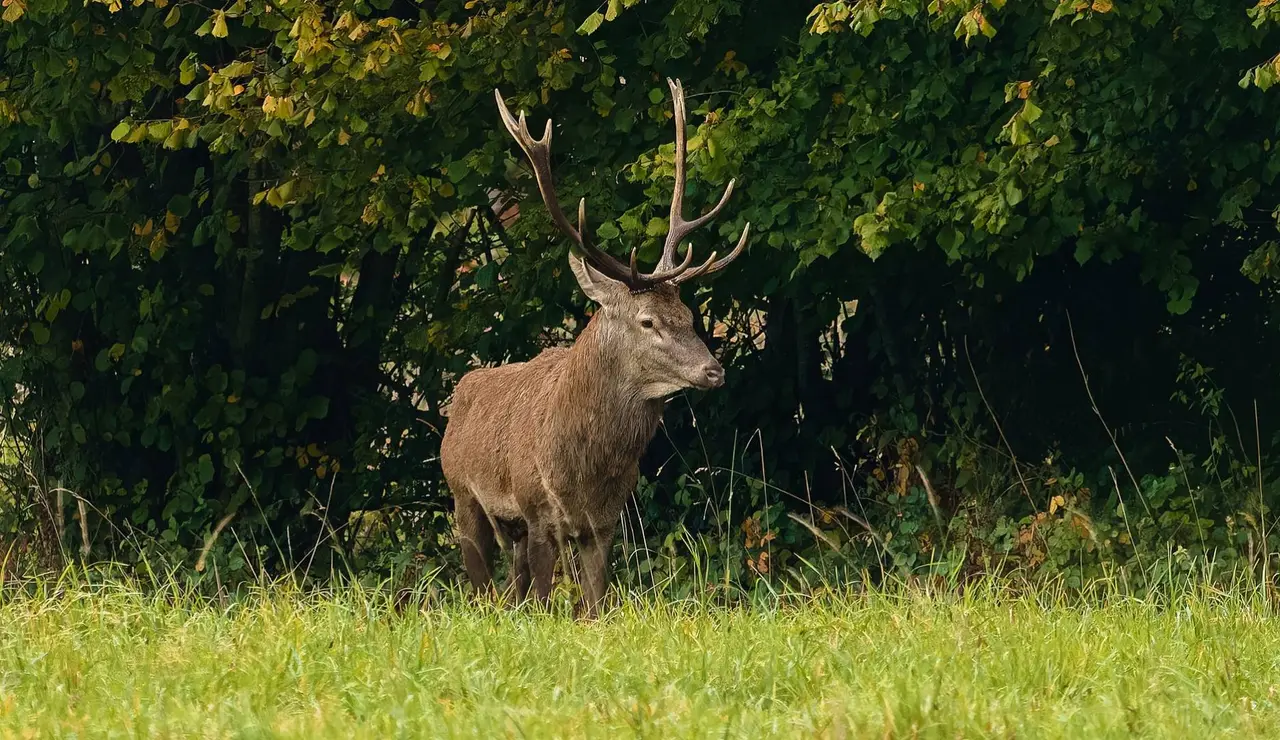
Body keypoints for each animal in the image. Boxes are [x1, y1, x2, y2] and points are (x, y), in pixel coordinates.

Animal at [440, 79, 750, 618]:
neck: (585, 470)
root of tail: (458, 395)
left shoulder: (605, 523)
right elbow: (546, 603)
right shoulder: (538, 508)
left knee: (512, 589)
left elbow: (595, 604)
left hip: (510, 528)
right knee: (482, 588)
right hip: (463, 494)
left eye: (689, 316)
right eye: (648, 321)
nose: (714, 371)